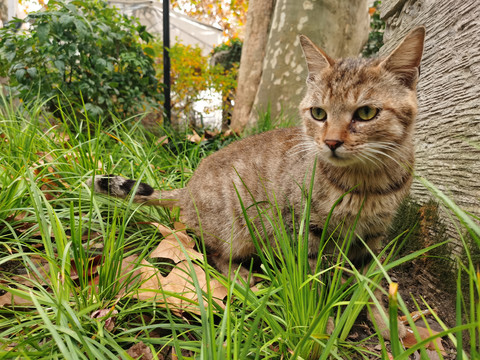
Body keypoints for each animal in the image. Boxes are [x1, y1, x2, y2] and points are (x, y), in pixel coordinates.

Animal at [86, 27, 424, 338]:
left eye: (366, 113)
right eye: (318, 113)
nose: (330, 142)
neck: (365, 183)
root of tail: (188, 188)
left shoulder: (373, 236)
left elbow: (371, 284)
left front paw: (385, 323)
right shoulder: (304, 229)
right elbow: (312, 280)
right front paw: (319, 325)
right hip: (237, 228)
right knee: (215, 255)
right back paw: (242, 278)